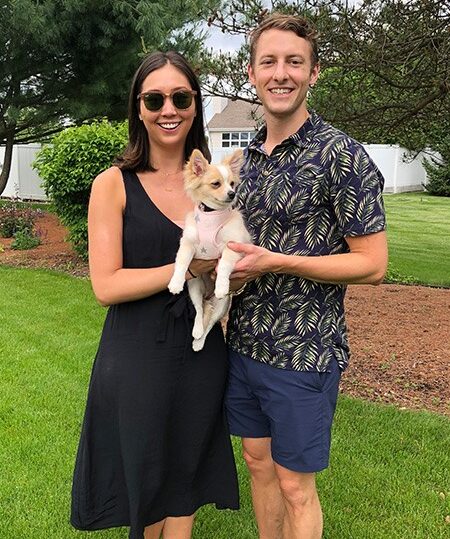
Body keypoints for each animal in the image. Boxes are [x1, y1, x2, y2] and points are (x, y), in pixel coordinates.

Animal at [169, 149, 253, 350]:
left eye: (232, 183)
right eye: (216, 184)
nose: (232, 193)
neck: (211, 214)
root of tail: (207, 296)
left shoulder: (231, 247)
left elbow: (223, 266)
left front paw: (221, 285)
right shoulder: (188, 244)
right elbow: (181, 263)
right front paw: (175, 282)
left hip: (222, 305)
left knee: (211, 322)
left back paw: (199, 342)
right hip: (194, 287)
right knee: (199, 310)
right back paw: (196, 331)